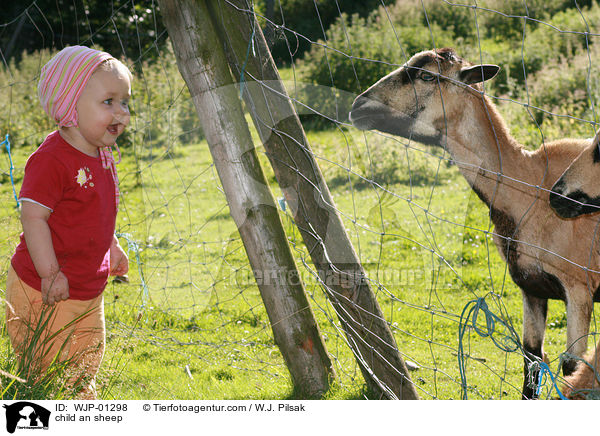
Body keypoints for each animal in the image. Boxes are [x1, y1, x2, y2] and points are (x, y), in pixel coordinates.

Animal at [350, 46, 600, 398]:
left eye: (427, 75)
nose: (357, 107)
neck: (526, 188)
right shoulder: (530, 288)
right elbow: (531, 363)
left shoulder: (579, 289)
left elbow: (572, 367)